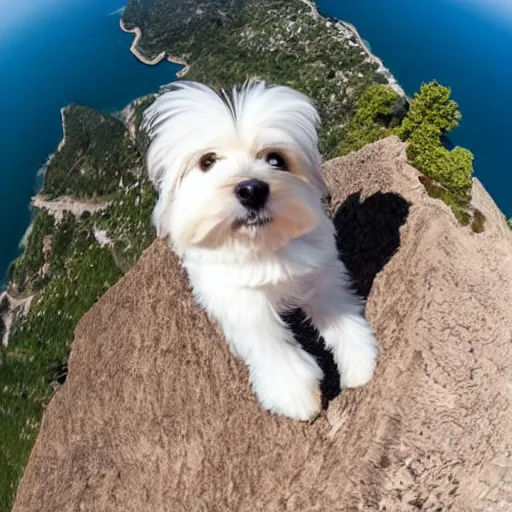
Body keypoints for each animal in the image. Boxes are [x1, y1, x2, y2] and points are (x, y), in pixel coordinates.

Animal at [142, 81, 378, 420]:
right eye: (207, 161)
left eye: (275, 159)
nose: (252, 189)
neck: (262, 246)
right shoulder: (241, 303)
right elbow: (270, 344)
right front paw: (295, 394)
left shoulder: (321, 274)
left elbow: (340, 317)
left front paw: (359, 362)